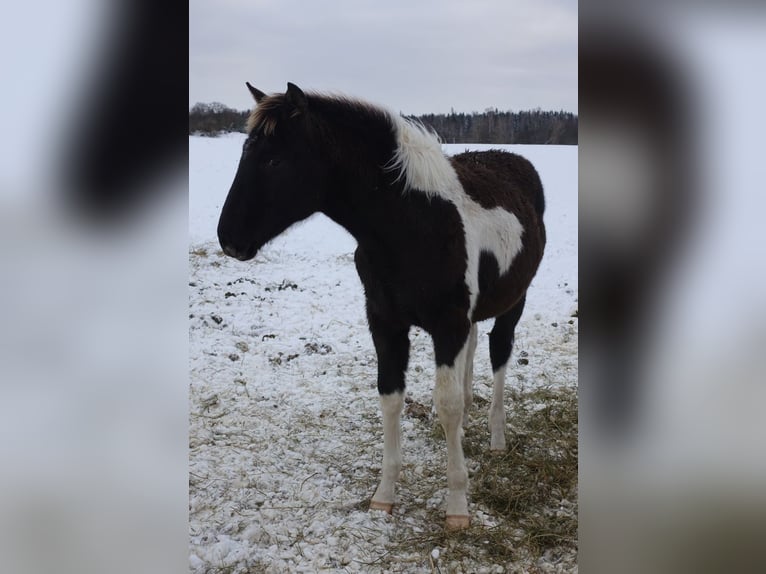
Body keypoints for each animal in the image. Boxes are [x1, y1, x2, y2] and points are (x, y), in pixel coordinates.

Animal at [219, 82, 548, 532]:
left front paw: (457, 505)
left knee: (500, 355)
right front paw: (384, 495)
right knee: (475, 346)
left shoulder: (447, 324)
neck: (414, 225)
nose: (228, 240)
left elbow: (447, 404)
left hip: (515, 301)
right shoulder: (386, 323)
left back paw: (497, 438)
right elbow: (391, 398)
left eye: (274, 159)